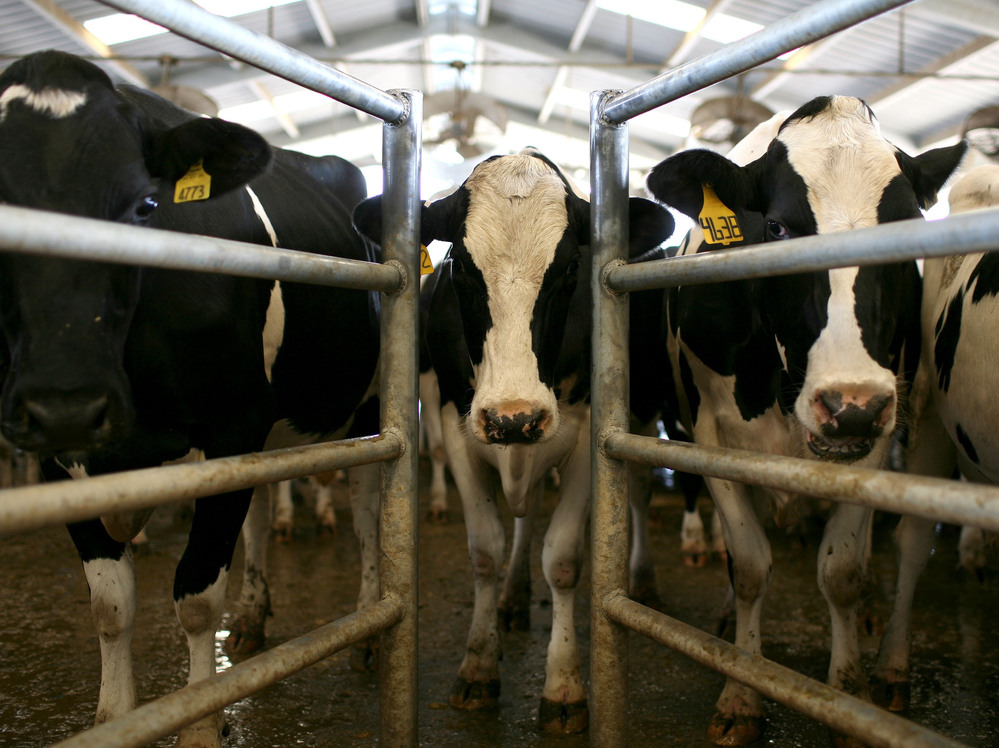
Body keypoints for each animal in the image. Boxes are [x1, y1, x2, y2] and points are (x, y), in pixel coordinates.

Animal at [0, 50, 380, 747]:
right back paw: (254, 615)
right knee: (261, 511)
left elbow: (197, 597)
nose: (66, 401)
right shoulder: (53, 458)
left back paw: (367, 623)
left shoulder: (230, 426)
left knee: (368, 508)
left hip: (366, 409)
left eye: (147, 204)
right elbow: (110, 603)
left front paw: (201, 722)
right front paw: (115, 719)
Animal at [354, 148, 674, 733]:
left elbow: (563, 560)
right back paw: (510, 597)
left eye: (569, 268)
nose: (512, 418)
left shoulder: (587, 434)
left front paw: (564, 687)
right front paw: (478, 666)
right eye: (461, 266)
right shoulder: (457, 424)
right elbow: (486, 550)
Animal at [645, 95, 966, 746]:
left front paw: (848, 698)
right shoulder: (710, 435)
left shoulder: (877, 438)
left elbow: (841, 571)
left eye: (905, 227)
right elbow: (748, 565)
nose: (850, 404)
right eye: (776, 228)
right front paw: (741, 692)